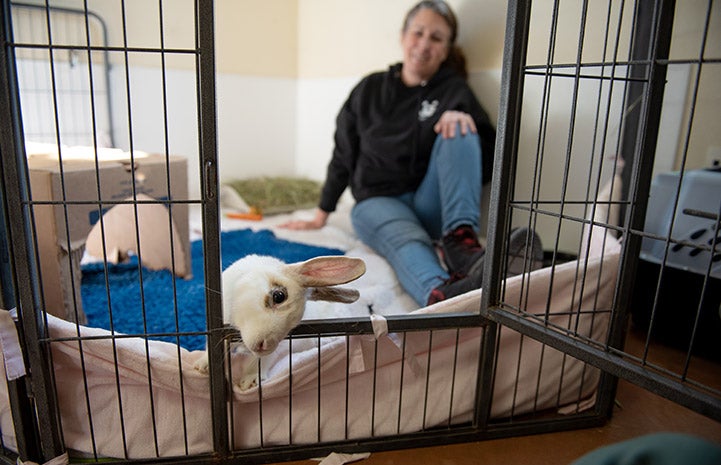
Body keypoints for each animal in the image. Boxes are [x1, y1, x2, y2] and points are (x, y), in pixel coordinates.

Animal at [194, 252, 366, 390]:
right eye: (278, 296)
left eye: (295, 322)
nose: (264, 345)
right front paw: (203, 366)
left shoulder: (276, 350)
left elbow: (261, 361)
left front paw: (249, 381)